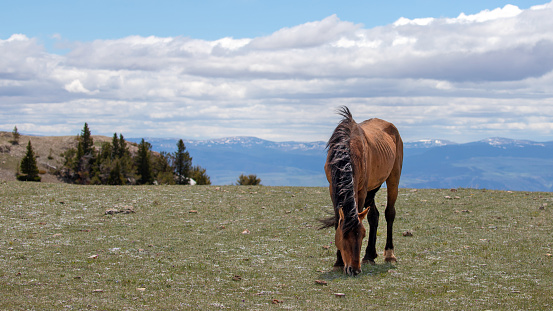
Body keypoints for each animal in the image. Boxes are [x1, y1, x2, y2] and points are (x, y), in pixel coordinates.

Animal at [320, 108, 402, 278]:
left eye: (363, 235)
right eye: (343, 236)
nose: (354, 269)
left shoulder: (361, 189)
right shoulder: (332, 188)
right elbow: (339, 219)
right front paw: (338, 262)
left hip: (393, 178)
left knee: (389, 213)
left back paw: (389, 254)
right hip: (372, 189)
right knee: (374, 216)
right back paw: (369, 256)